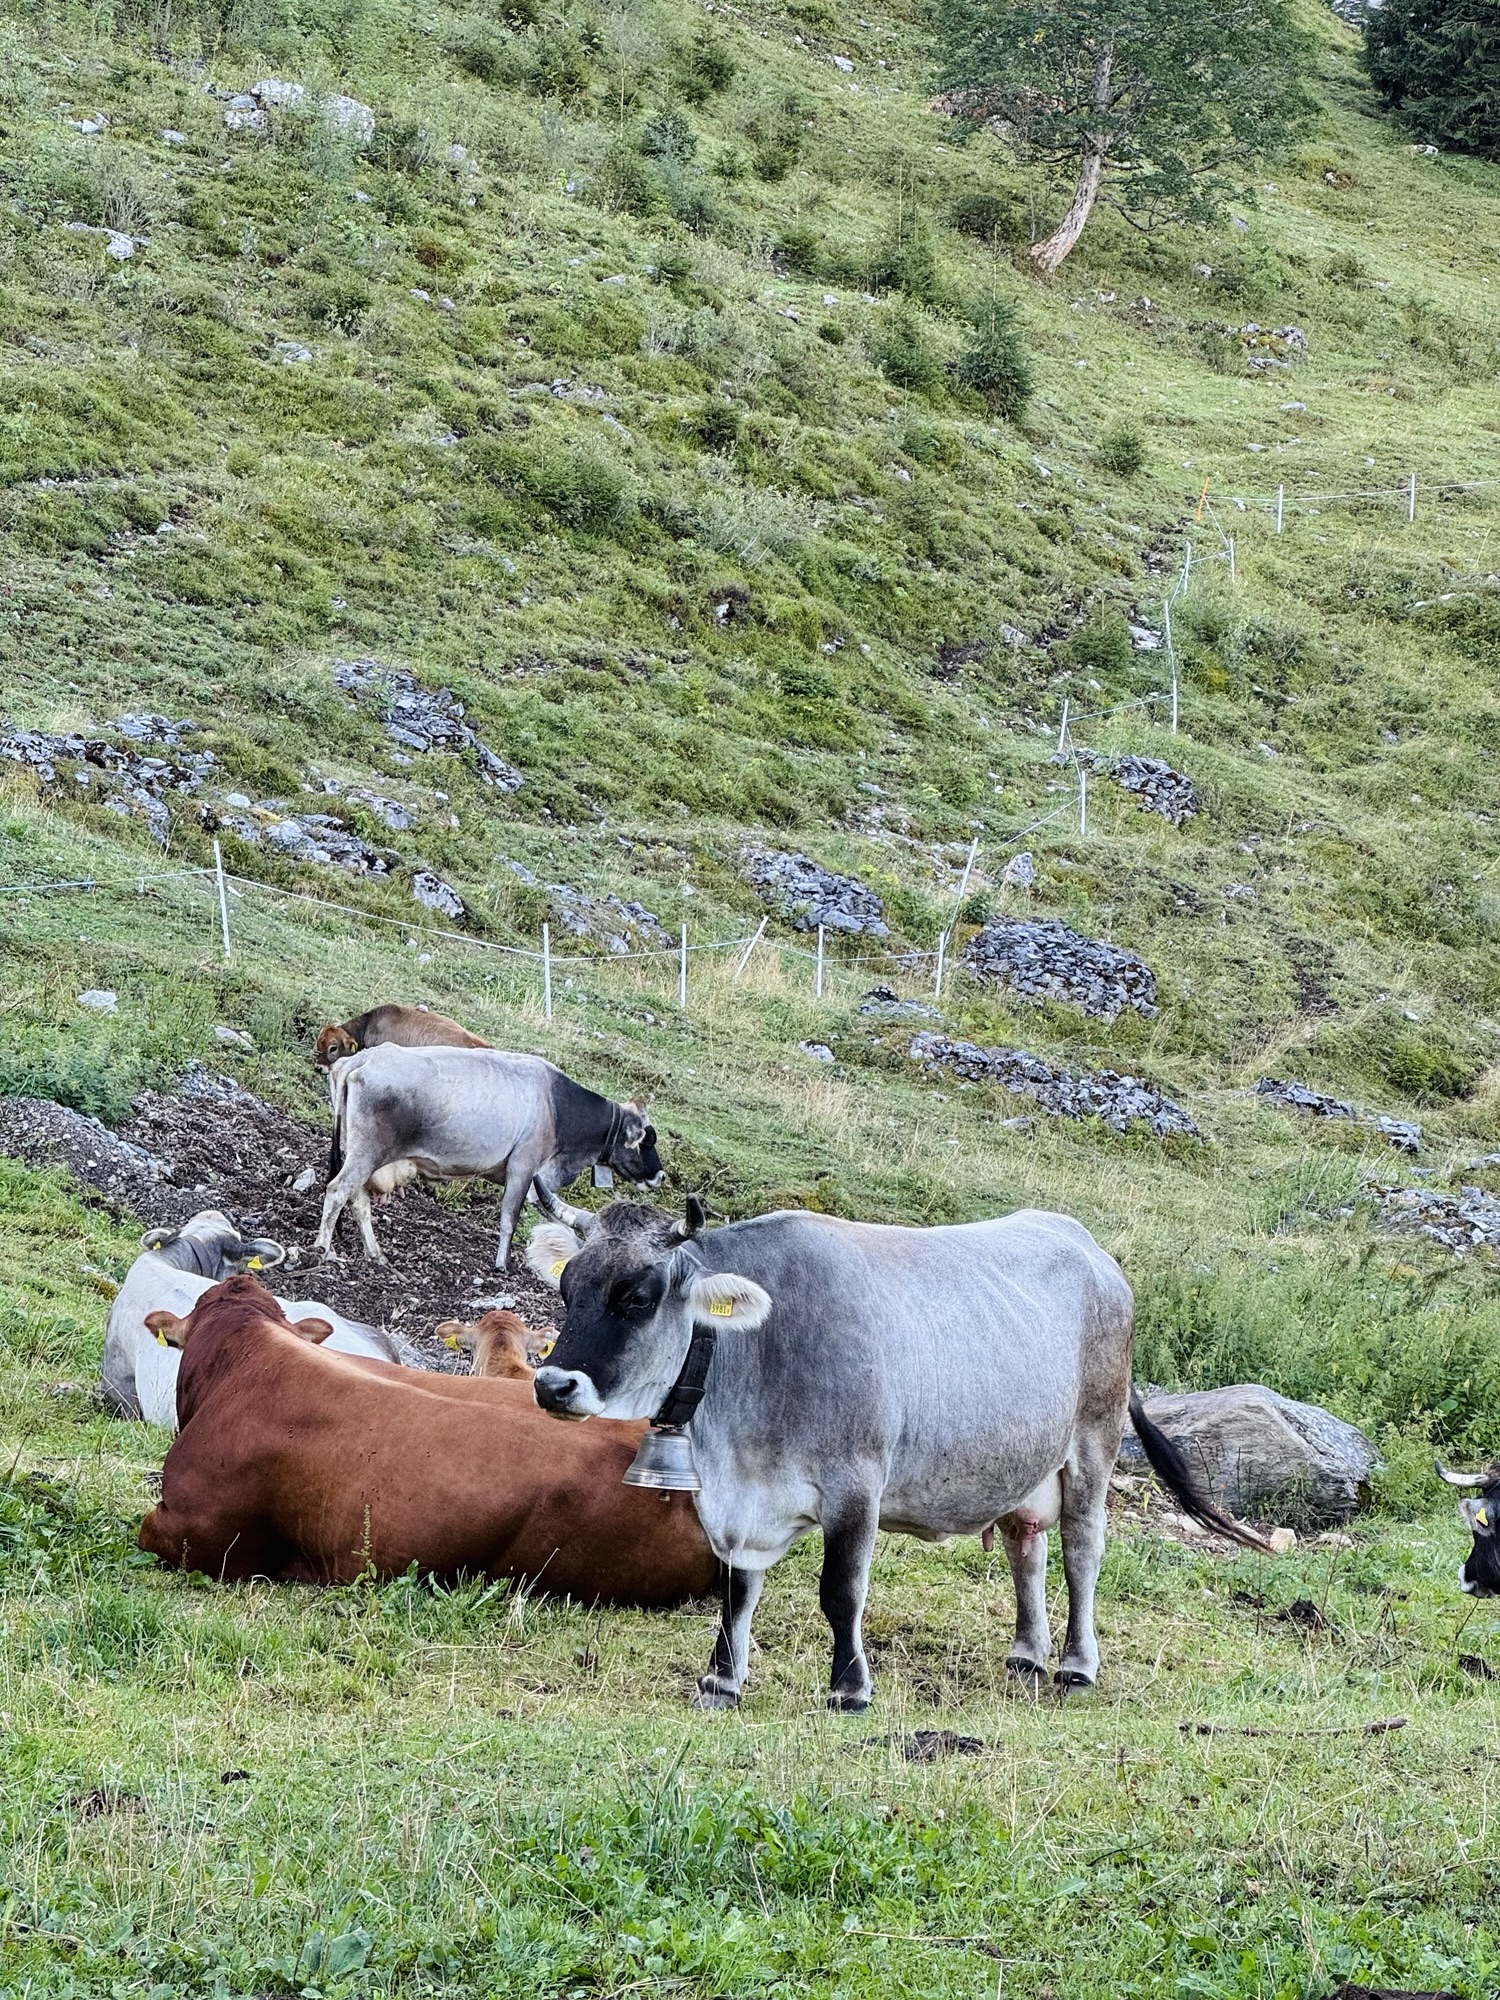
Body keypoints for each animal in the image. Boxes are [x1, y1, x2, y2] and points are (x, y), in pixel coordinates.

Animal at [314, 1044, 664, 1271]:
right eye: (647, 1139)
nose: (659, 1175)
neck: (559, 1107)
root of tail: (359, 1060)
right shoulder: (523, 1168)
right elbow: (510, 1217)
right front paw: (502, 1264)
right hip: (366, 1154)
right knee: (337, 1191)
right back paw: (324, 1249)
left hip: (357, 1152)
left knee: (357, 1200)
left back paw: (375, 1254)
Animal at [526, 1194, 1271, 1712]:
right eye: (568, 1287)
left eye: (639, 1296)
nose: (553, 1384)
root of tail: (1084, 1242)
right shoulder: (736, 1504)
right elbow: (737, 1591)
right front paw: (721, 1680)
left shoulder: (857, 1485)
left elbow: (840, 1590)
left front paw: (849, 1687)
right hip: (1017, 1461)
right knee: (1025, 1547)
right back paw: (1026, 1654)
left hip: (1092, 1444)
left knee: (1083, 1553)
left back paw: (1075, 1666)